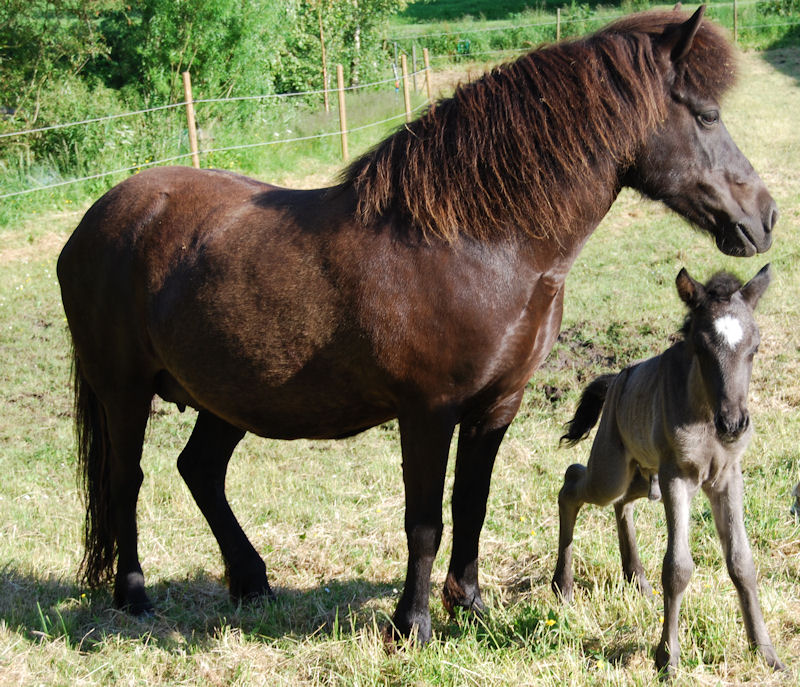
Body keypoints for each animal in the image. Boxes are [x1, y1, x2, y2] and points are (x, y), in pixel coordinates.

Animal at [552, 266, 780, 676]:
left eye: (754, 348)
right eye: (701, 349)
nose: (734, 423)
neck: (706, 417)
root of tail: (617, 379)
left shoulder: (727, 478)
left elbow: (742, 562)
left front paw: (765, 651)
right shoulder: (678, 477)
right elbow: (678, 568)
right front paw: (667, 658)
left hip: (643, 474)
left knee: (622, 502)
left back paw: (636, 579)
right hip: (612, 469)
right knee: (573, 482)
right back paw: (563, 585)